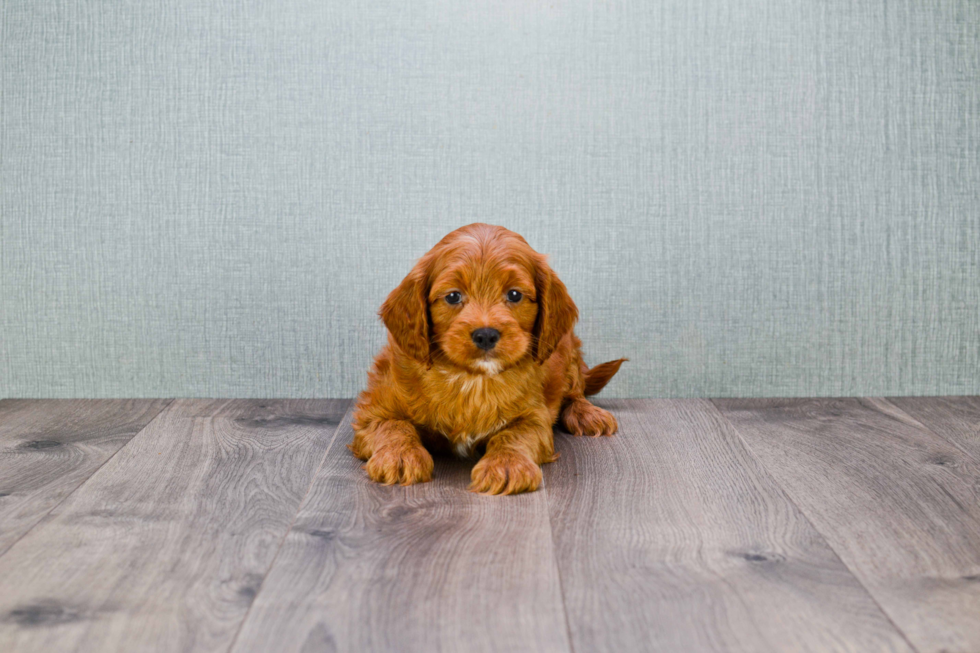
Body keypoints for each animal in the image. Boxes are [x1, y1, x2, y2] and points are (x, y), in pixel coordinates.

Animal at [352, 224, 624, 494]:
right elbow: (393, 426)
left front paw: (507, 464)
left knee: (576, 390)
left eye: (514, 294)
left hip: (568, 350)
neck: (472, 379)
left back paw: (587, 414)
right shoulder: (373, 410)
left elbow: (514, 435)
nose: (485, 335)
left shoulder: (534, 416)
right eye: (453, 296)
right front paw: (399, 456)